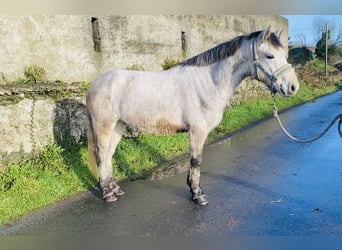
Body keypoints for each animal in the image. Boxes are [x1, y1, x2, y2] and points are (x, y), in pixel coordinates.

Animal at [86, 27, 300, 205]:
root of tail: (95, 84)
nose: (293, 87)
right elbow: (196, 161)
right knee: (101, 154)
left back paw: (114, 188)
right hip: (104, 125)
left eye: (283, 54)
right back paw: (107, 193)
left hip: (118, 126)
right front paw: (198, 195)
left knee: (108, 155)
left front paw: (193, 189)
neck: (208, 82)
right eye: (270, 55)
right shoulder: (198, 131)